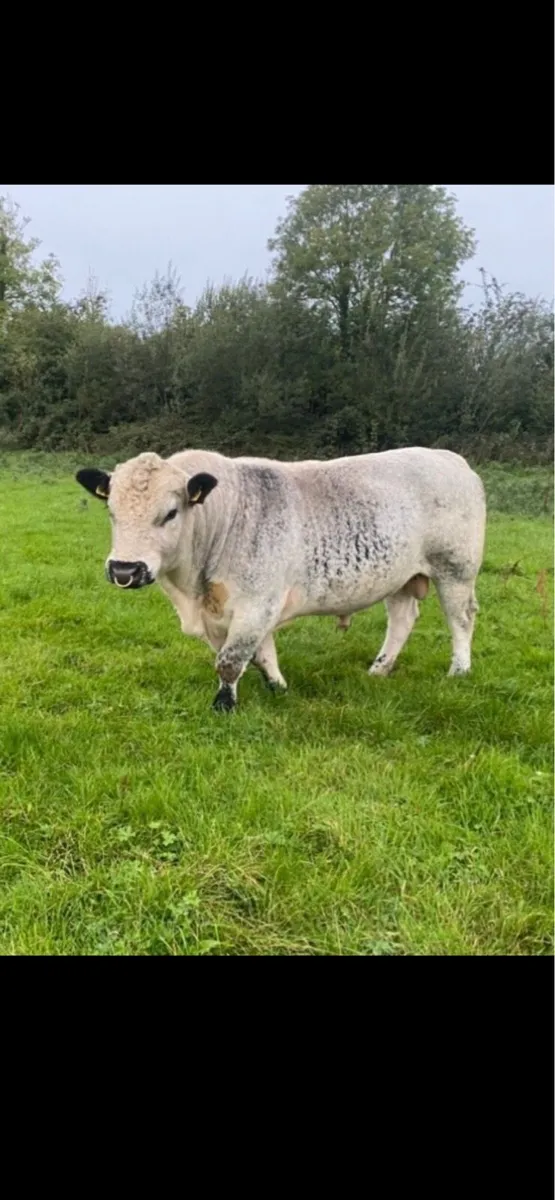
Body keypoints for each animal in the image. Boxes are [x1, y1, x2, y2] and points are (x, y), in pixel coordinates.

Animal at [76, 446, 486, 712]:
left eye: (171, 513)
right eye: (111, 511)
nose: (124, 570)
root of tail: (451, 459)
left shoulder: (257, 603)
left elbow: (231, 660)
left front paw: (224, 705)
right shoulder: (234, 613)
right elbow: (260, 653)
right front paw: (278, 687)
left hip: (456, 569)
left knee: (461, 618)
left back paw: (459, 670)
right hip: (399, 576)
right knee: (402, 619)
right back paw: (379, 669)